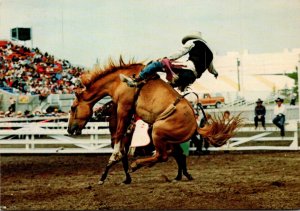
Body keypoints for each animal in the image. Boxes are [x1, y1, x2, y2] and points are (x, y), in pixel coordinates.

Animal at [67, 57, 241, 183]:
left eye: (73, 107)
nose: (69, 129)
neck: (117, 81)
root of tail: (195, 125)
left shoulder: (124, 107)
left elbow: (119, 138)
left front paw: (109, 168)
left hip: (158, 130)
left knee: (163, 156)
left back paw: (137, 165)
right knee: (171, 155)